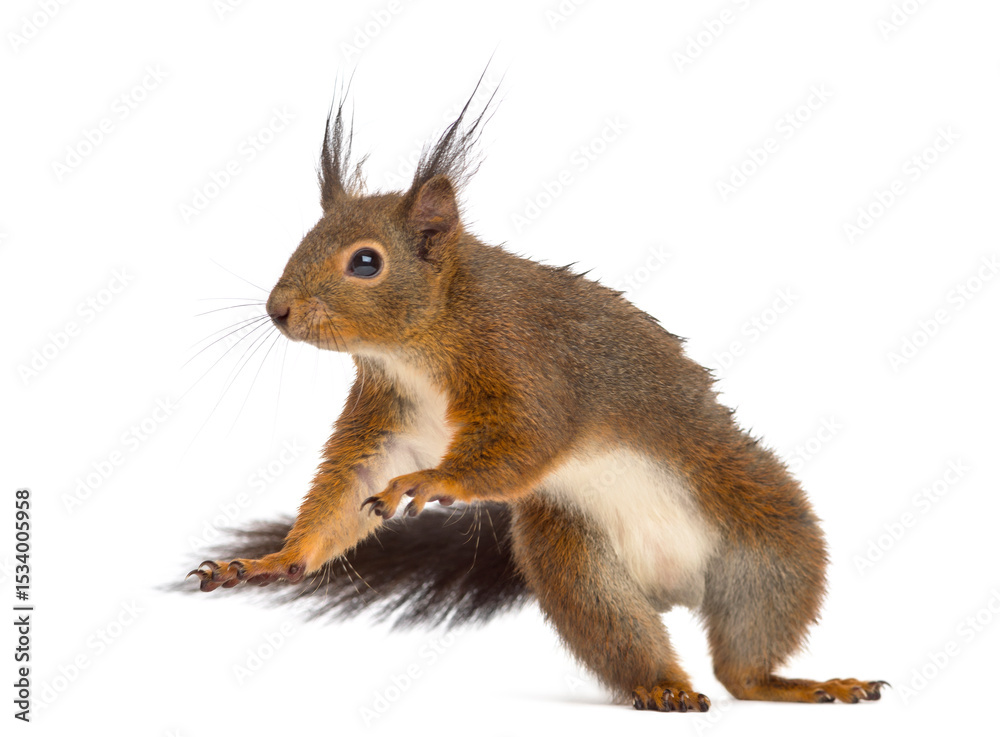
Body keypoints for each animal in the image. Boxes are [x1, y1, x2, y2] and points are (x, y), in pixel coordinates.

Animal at [186, 73, 886, 712]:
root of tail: (675, 589)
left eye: (365, 262)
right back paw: (663, 685)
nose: (277, 310)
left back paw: (795, 684)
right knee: (632, 639)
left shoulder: (528, 364)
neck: (420, 345)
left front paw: (433, 480)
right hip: (576, 566)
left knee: (744, 662)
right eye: (302, 240)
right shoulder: (388, 418)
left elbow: (530, 438)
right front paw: (275, 560)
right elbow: (351, 488)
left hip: (768, 544)